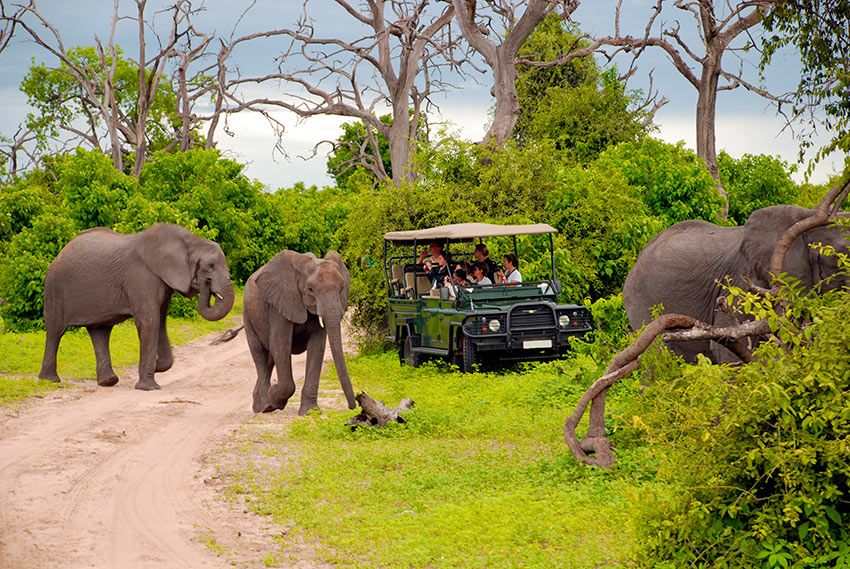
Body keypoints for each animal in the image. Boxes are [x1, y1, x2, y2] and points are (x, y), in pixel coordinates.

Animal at [38, 224, 234, 388]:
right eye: (210, 266)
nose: (207, 284)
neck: (189, 239)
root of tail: (59, 254)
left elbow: (160, 322)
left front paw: (156, 366)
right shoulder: (141, 277)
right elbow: (150, 322)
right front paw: (148, 387)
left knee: (100, 331)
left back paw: (108, 382)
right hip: (54, 288)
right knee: (56, 331)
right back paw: (50, 380)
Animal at [240, 248, 356, 412]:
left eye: (341, 289)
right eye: (311, 289)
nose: (353, 406)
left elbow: (317, 347)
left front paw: (310, 411)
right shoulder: (279, 303)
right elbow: (281, 344)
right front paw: (275, 398)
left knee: (270, 359)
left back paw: (261, 404)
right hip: (248, 315)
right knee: (260, 354)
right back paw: (265, 407)